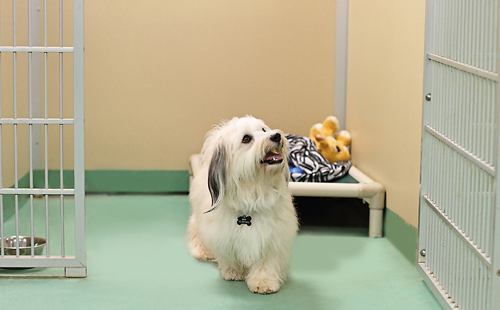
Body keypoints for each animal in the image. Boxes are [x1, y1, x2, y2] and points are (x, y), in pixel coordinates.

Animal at [187, 115, 296, 294]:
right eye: (246, 139)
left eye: (263, 130)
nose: (276, 136)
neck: (254, 192)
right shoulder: (223, 233)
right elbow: (229, 255)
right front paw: (233, 272)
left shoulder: (273, 236)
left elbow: (266, 262)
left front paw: (263, 281)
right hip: (199, 217)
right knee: (196, 228)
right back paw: (203, 250)